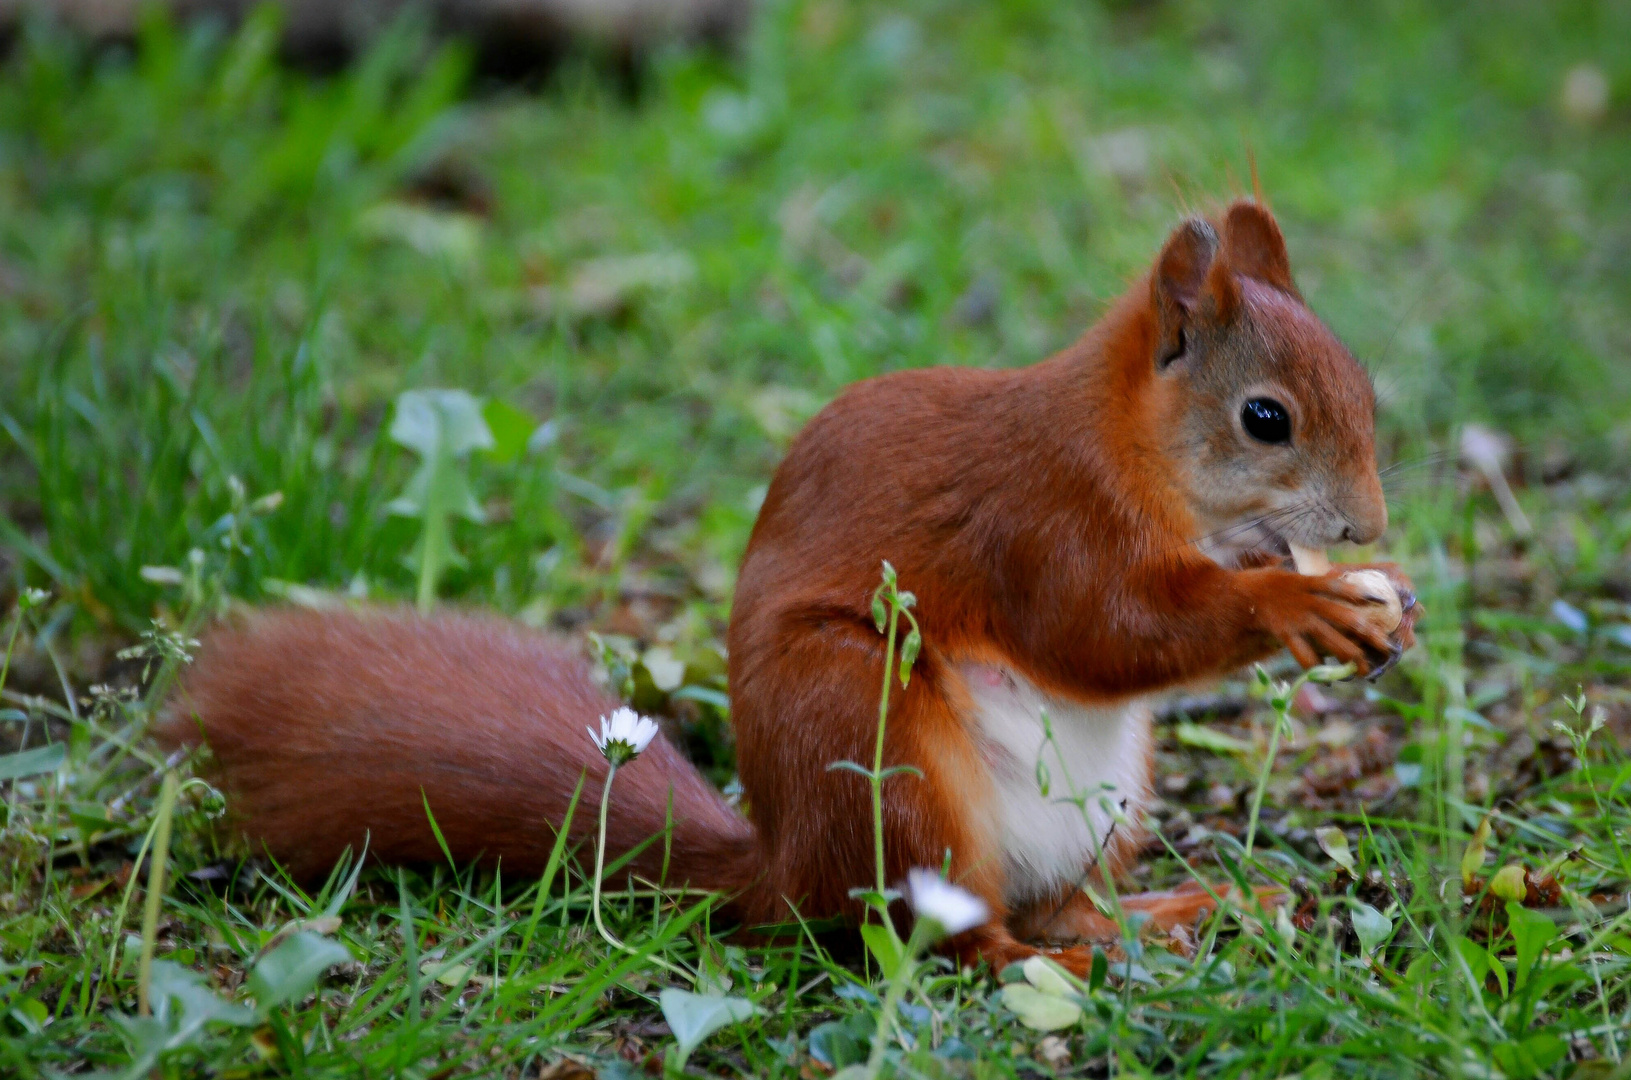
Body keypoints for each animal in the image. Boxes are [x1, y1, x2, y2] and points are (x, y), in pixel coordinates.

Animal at [162, 200, 1415, 978]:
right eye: (1265, 418)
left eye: (1359, 387)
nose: (1366, 526)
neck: (1129, 447)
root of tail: (779, 872)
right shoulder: (1036, 520)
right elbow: (1103, 632)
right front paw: (1296, 604)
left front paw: (1370, 590)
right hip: (876, 748)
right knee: (932, 938)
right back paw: (1049, 965)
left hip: (1101, 806)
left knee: (1056, 902)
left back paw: (1183, 912)